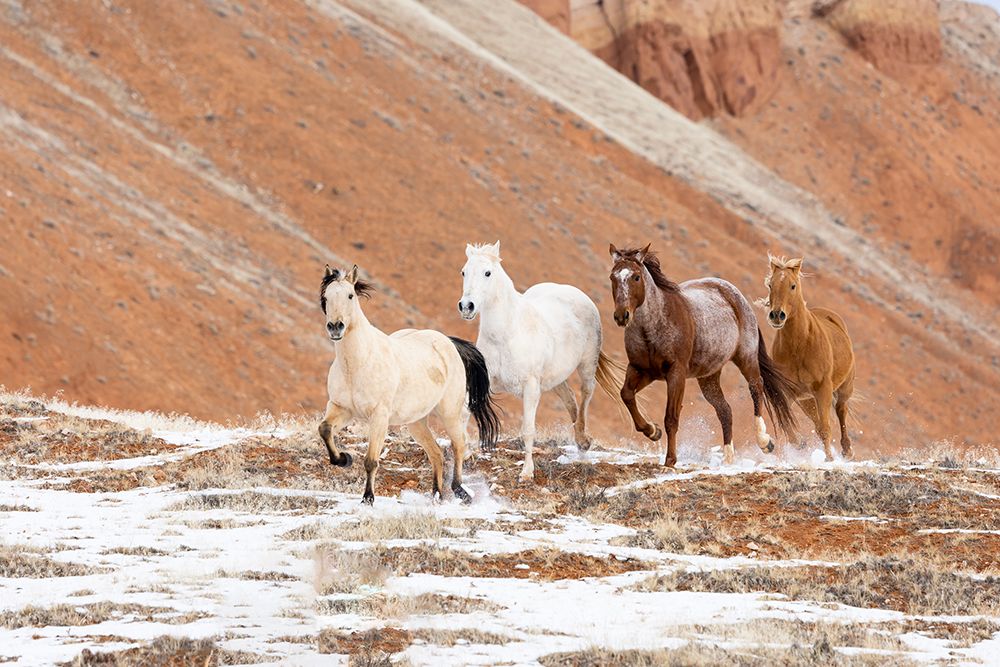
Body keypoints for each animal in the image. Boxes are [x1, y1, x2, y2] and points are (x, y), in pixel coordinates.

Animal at [318, 264, 500, 505]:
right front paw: (343, 459)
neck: (358, 363)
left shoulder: (379, 416)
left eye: (350, 295)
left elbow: (371, 460)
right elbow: (324, 429)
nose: (335, 327)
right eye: (326, 297)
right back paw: (437, 495)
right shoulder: (341, 408)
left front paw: (368, 498)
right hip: (416, 422)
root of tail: (449, 342)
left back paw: (460, 490)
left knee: (458, 445)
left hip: (449, 412)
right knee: (436, 454)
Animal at [458, 241, 627, 482]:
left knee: (585, 394)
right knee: (570, 400)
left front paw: (527, 472)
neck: (506, 334)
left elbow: (528, 430)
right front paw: (464, 456)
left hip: (586, 366)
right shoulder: (485, 380)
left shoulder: (530, 387)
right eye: (464, 271)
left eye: (487, 273)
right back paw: (580, 439)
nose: (466, 306)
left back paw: (584, 441)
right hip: (556, 378)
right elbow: (464, 413)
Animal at [609, 244, 799, 466]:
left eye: (636, 277)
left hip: (746, 357)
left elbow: (671, 418)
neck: (652, 327)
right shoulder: (641, 370)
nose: (622, 316)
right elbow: (626, 394)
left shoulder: (676, 374)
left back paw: (764, 441)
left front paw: (670, 460)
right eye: (613, 277)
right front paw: (653, 431)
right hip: (709, 377)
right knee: (725, 410)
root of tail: (734, 293)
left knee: (756, 388)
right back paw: (728, 459)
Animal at [761, 255, 856, 461]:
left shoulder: (823, 388)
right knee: (817, 422)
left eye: (793, 285)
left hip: (843, 388)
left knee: (841, 411)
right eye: (770, 285)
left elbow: (826, 428)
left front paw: (829, 459)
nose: (777, 315)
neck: (800, 346)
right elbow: (788, 426)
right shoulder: (787, 392)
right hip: (806, 400)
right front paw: (800, 446)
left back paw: (847, 450)